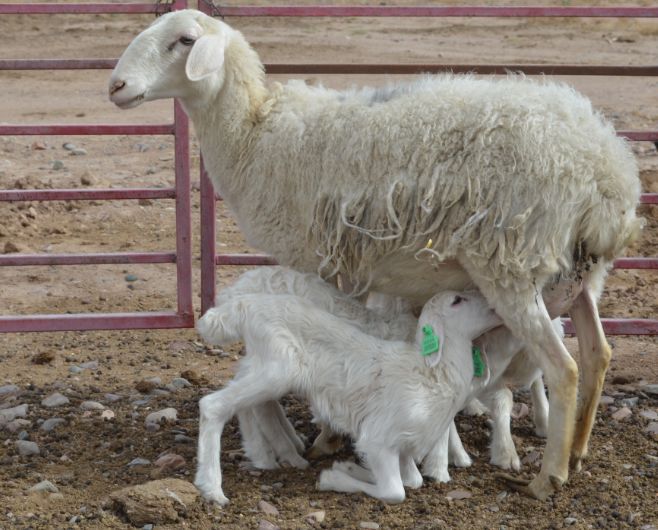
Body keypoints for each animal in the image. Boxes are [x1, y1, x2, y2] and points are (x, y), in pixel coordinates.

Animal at [192, 288, 500, 504]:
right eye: (457, 300)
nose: (494, 306)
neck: (433, 375)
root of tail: (245, 307)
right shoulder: (378, 438)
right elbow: (394, 491)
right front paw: (332, 478)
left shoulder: (403, 445)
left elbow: (413, 480)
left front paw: (349, 467)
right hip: (278, 369)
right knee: (212, 405)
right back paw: (212, 488)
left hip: (262, 365)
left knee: (243, 402)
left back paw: (262, 456)